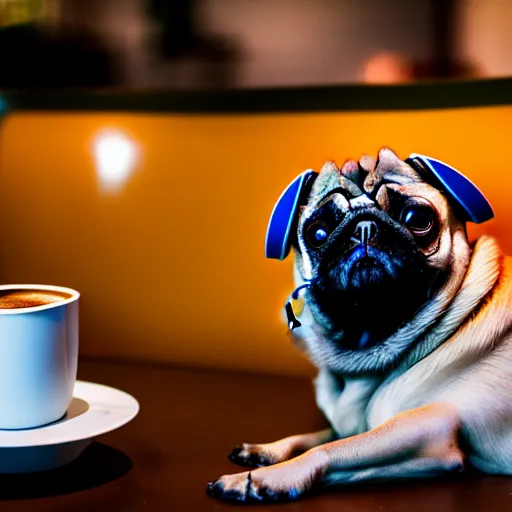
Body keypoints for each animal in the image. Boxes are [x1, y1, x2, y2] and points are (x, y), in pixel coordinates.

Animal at [205, 148, 512, 504]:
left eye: (418, 219)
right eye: (318, 233)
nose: (365, 227)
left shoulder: (427, 432)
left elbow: (329, 449)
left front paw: (257, 479)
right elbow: (319, 436)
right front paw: (267, 450)